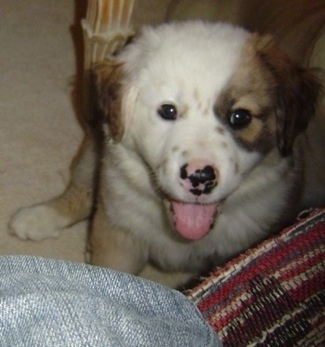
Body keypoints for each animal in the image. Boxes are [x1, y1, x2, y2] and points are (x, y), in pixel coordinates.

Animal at [9, 22, 322, 288]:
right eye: (168, 111)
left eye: (240, 117)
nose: (200, 177)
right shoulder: (121, 233)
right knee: (83, 190)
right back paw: (36, 218)